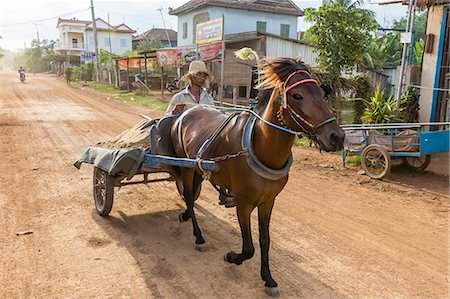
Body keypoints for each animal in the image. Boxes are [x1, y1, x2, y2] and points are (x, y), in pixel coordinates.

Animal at [170, 57, 344, 296]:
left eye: (321, 92)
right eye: (297, 95)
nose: (337, 136)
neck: (260, 146)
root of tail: (186, 112)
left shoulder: (268, 201)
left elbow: (264, 240)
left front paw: (268, 278)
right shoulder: (243, 203)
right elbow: (249, 248)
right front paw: (232, 257)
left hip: (197, 168)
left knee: (192, 196)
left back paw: (187, 215)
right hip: (185, 166)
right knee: (188, 196)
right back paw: (198, 235)